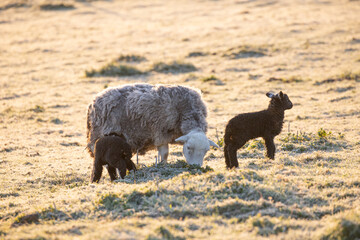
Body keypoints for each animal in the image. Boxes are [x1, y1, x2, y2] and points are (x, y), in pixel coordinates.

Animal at [86, 83, 219, 166]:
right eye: (188, 148)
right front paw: (163, 165)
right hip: (99, 134)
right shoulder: (161, 132)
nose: (196, 167)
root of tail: (93, 102)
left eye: (206, 151)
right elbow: (165, 153)